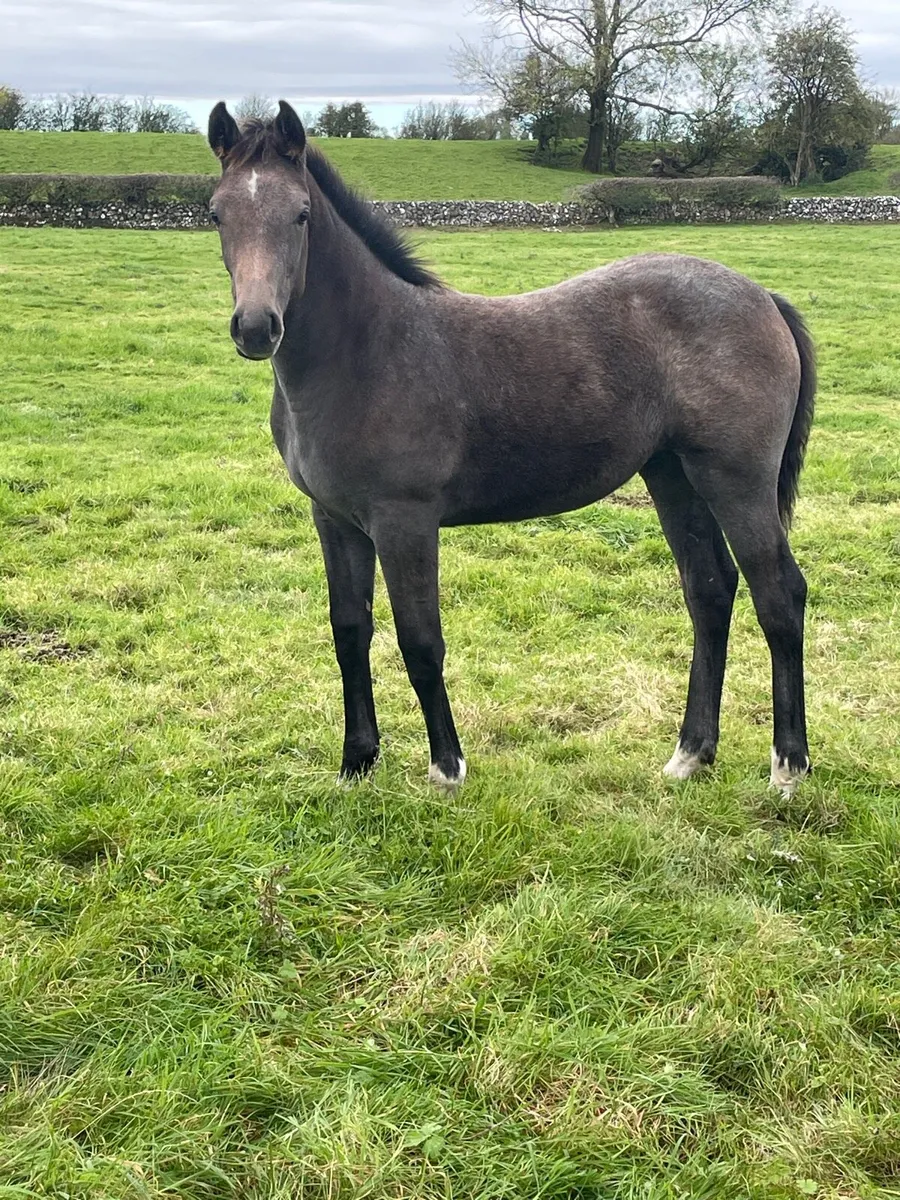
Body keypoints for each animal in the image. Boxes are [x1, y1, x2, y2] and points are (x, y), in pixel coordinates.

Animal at [207, 100, 815, 796]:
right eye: (217, 212)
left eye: (301, 213)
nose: (257, 328)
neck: (367, 351)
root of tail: (764, 298)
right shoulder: (333, 520)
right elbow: (349, 632)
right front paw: (356, 763)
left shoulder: (404, 520)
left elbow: (421, 640)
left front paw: (447, 768)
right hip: (673, 475)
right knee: (710, 593)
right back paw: (690, 754)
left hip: (736, 480)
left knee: (779, 595)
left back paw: (788, 766)